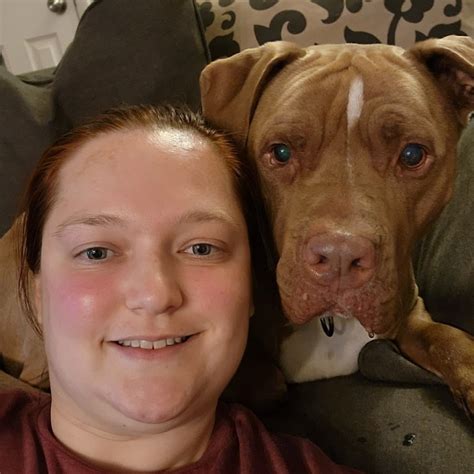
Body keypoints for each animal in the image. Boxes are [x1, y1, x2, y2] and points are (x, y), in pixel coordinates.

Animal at [200, 35, 474, 415]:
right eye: (280, 152)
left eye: (412, 155)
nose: (340, 258)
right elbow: (265, 381)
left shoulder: (410, 309)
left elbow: (446, 339)